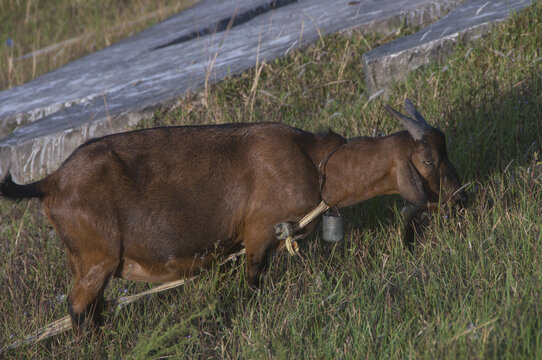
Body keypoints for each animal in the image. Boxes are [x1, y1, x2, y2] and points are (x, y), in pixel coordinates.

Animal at [0, 97, 468, 332]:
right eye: (427, 159)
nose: (461, 200)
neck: (318, 164)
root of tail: (50, 182)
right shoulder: (259, 233)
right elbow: (253, 282)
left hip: (88, 261)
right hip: (97, 259)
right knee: (79, 311)